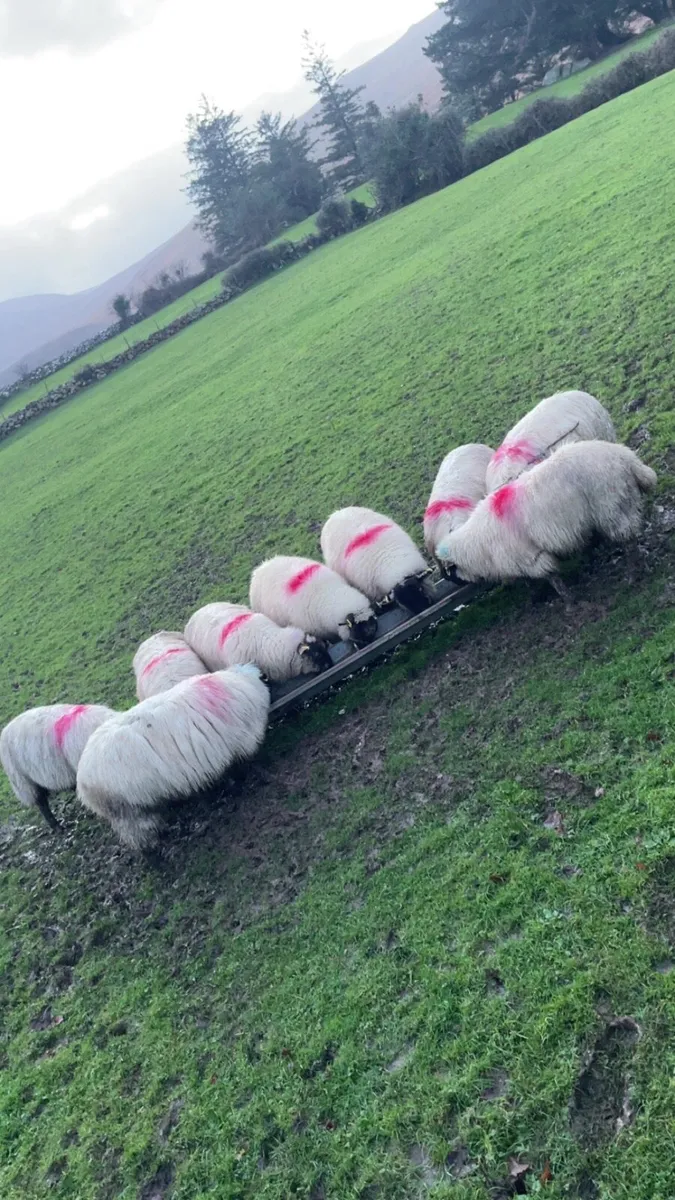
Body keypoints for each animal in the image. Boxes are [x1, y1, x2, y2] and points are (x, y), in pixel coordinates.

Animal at [436, 441, 656, 601]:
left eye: (451, 569)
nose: (459, 584)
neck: (477, 544)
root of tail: (624, 456)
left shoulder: (531, 557)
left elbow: (551, 577)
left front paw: (568, 599)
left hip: (612, 508)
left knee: (628, 539)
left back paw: (633, 573)